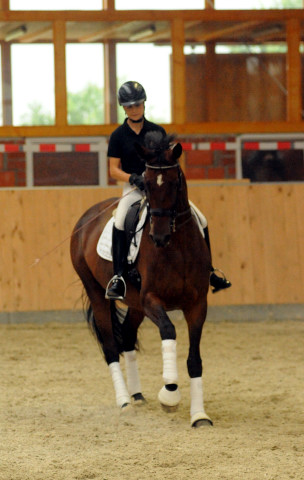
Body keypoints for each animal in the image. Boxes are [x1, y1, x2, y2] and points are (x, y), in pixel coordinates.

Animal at [70, 131, 214, 428]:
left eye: (174, 182)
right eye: (146, 183)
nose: (158, 237)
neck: (177, 246)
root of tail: (87, 217)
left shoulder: (197, 305)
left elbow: (194, 360)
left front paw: (199, 415)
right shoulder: (151, 300)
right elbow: (168, 330)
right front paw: (169, 393)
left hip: (134, 304)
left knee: (125, 337)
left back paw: (136, 395)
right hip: (97, 292)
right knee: (111, 348)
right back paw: (125, 401)